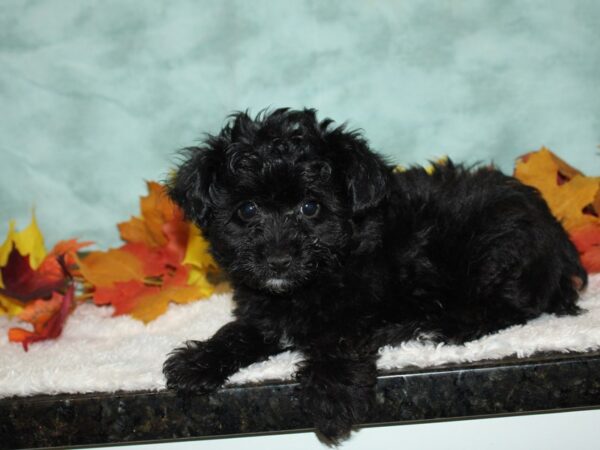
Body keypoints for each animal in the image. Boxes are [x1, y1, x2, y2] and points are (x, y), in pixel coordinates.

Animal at [163, 109, 584, 442]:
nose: (279, 260)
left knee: (504, 309)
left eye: (311, 207)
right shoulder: (264, 312)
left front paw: (330, 394)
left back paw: (431, 327)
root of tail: (556, 236)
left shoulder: (361, 305)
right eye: (247, 209)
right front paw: (198, 361)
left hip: (494, 247)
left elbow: (339, 338)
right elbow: (238, 332)